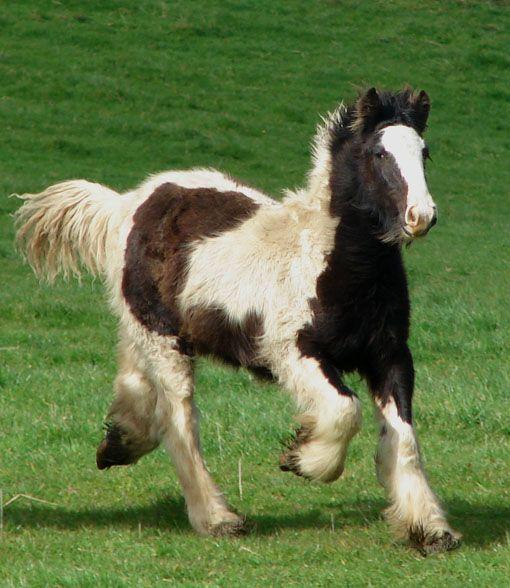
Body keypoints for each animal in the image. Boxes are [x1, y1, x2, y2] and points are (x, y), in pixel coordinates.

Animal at [15, 85, 460, 552]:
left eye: (424, 152)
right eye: (378, 153)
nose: (421, 216)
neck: (337, 266)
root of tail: (128, 204)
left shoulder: (390, 355)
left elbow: (403, 438)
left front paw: (430, 529)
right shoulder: (292, 351)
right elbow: (344, 410)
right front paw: (302, 458)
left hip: (148, 327)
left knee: (134, 375)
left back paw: (120, 443)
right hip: (164, 340)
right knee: (179, 422)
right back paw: (217, 518)